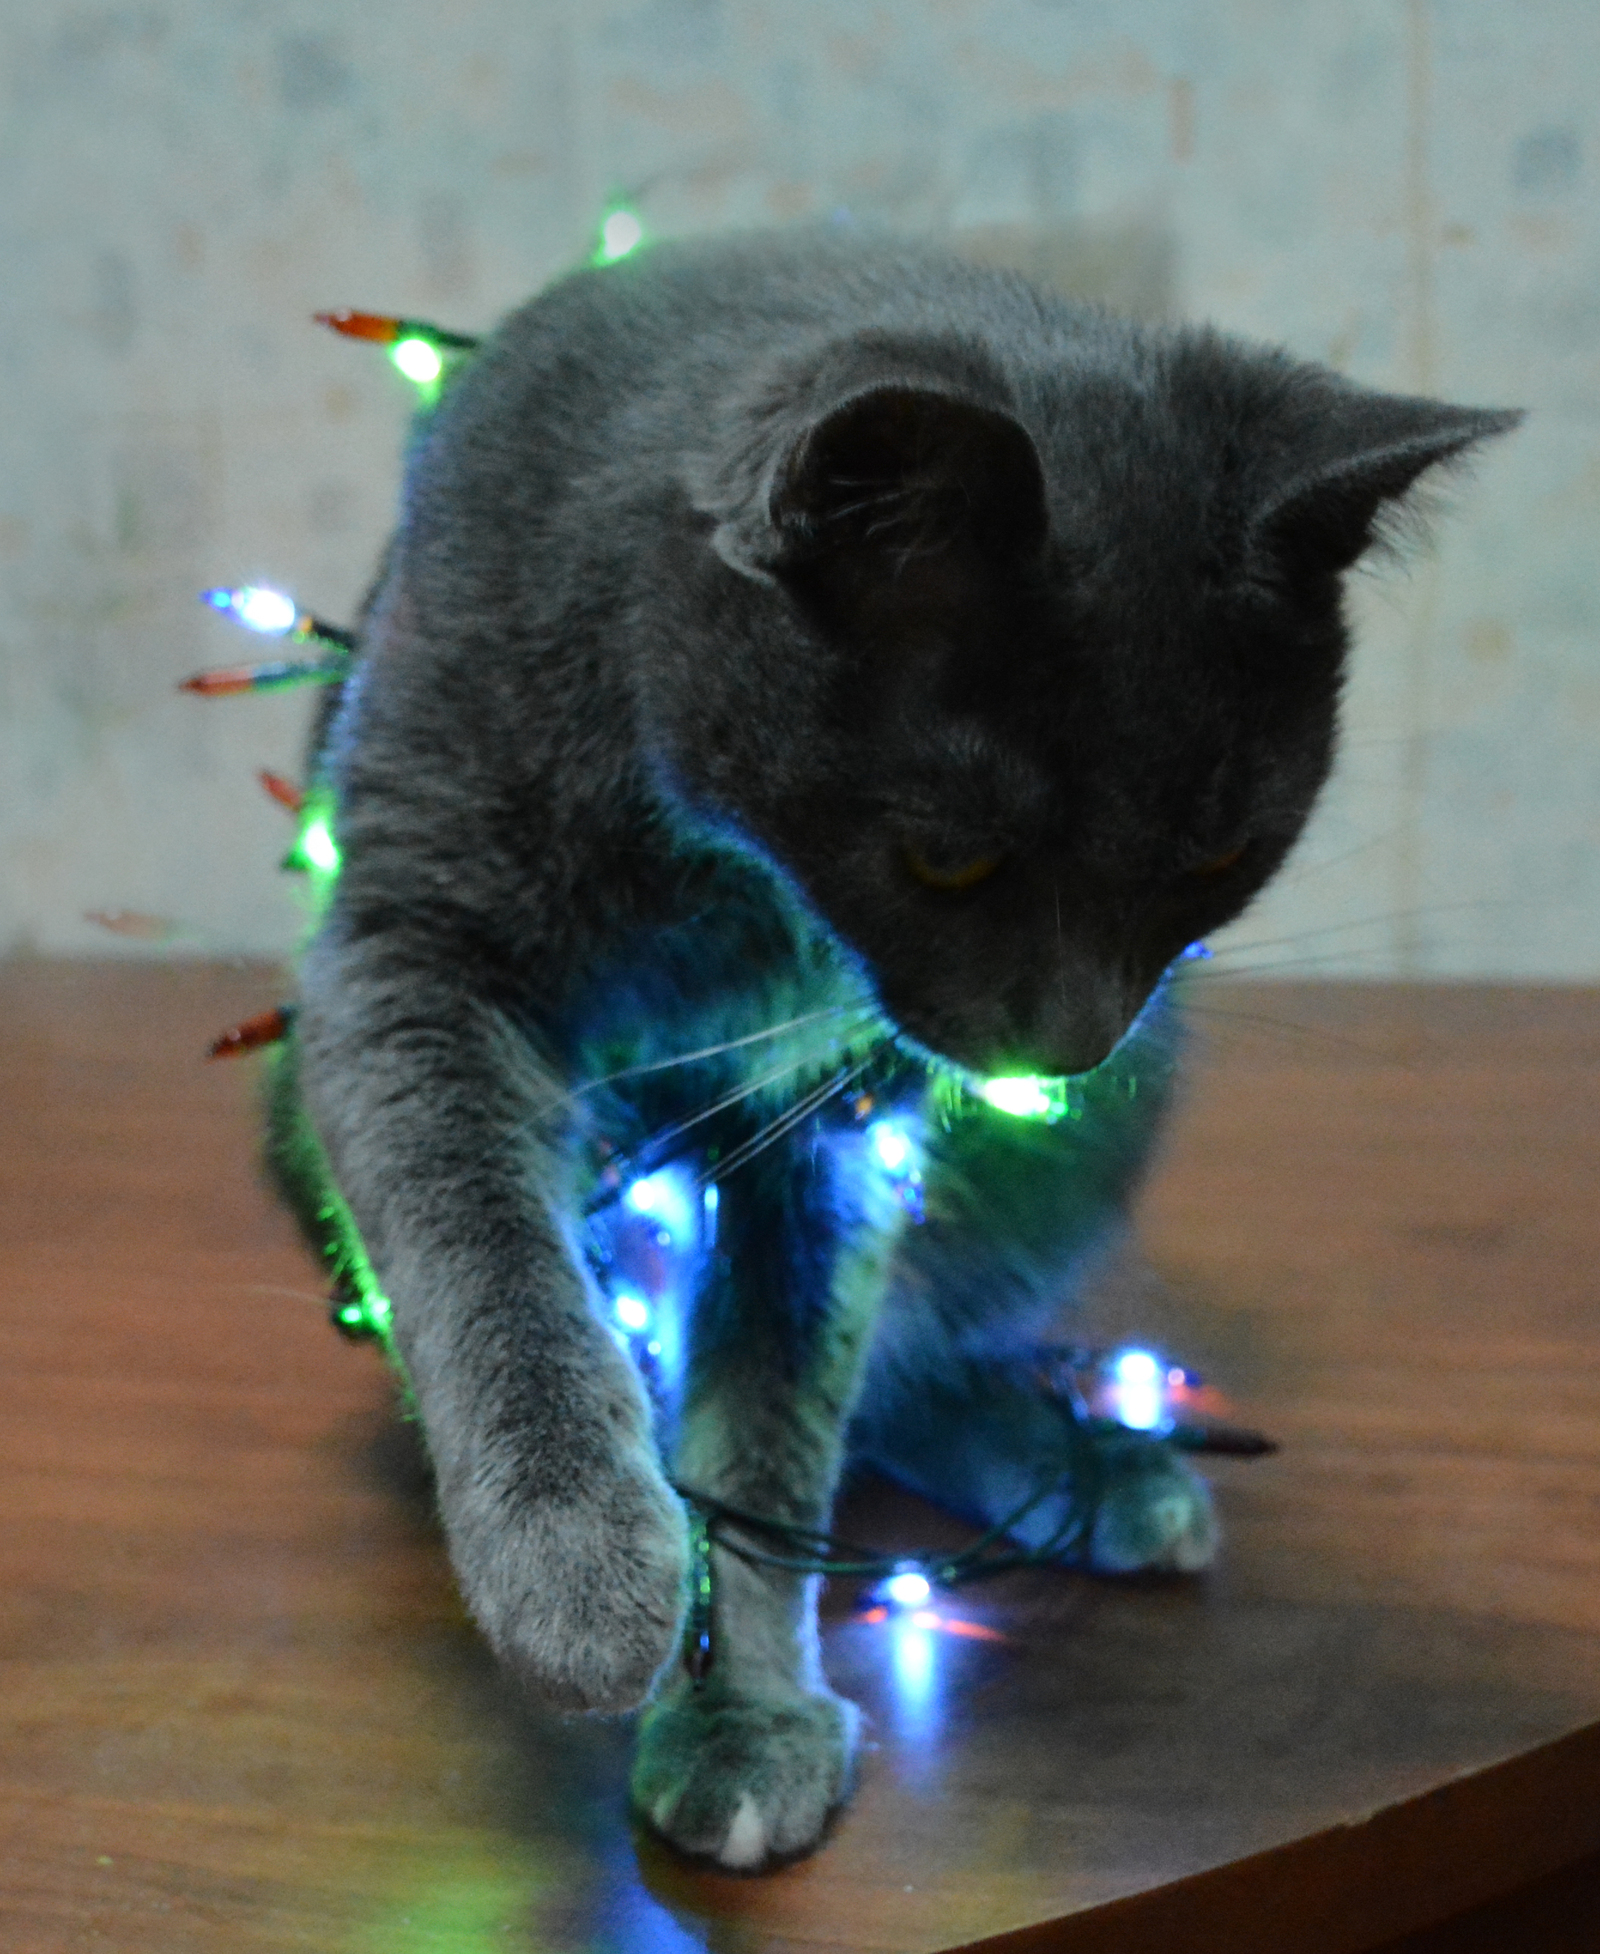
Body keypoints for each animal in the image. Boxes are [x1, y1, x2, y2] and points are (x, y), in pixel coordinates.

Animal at [263, 228, 1515, 1860]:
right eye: (946, 857)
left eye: (1218, 855)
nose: (1066, 1043)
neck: (727, 882)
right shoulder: (407, 937)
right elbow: (481, 1241)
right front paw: (580, 1568)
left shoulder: (837, 1100)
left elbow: (782, 1396)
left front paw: (746, 1707)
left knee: (906, 1364)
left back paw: (1089, 1468)